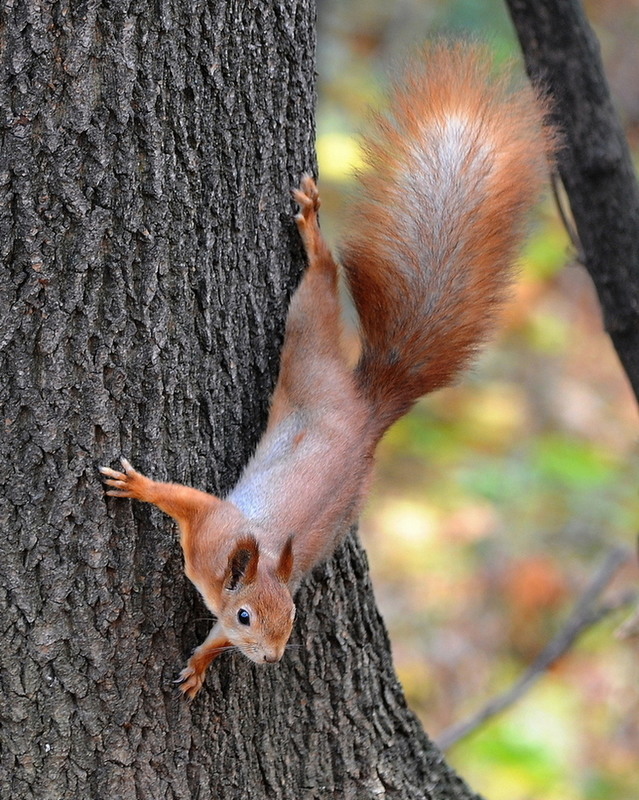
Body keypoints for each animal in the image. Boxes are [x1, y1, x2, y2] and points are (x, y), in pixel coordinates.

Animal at [99, 43, 556, 696]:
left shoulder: (219, 550)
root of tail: (369, 412)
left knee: (325, 281)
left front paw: (203, 663)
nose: (272, 659)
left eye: (291, 616)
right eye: (247, 614)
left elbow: (208, 609)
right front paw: (140, 488)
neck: (245, 563)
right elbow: (185, 501)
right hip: (312, 357)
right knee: (323, 285)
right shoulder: (213, 529)